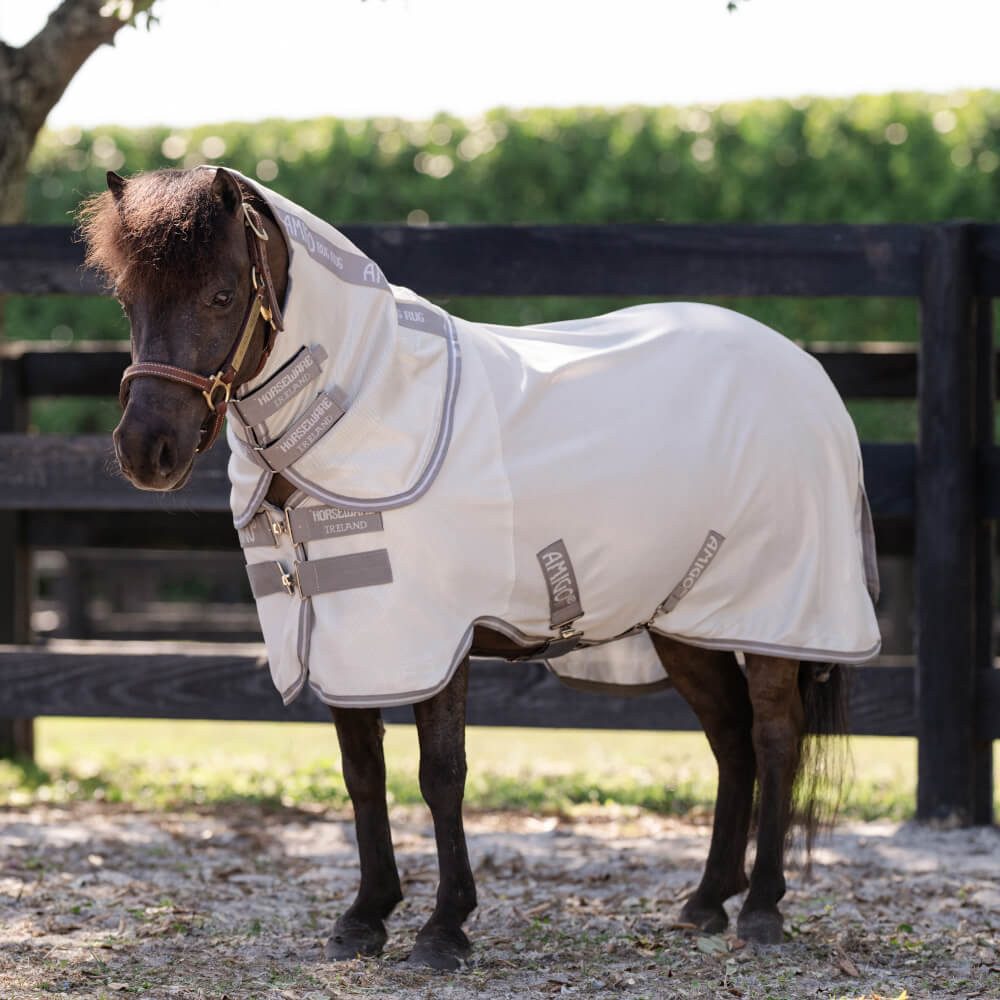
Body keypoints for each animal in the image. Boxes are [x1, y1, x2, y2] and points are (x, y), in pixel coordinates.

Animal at [78, 166, 877, 970]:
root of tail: (806, 371)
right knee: (731, 739)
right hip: (685, 624)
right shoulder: (348, 635)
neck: (366, 405)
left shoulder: (434, 640)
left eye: (220, 294)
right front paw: (364, 917)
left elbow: (441, 774)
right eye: (128, 301)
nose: (147, 450)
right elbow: (362, 773)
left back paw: (764, 909)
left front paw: (444, 927)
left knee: (775, 735)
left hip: (777, 614)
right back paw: (707, 902)